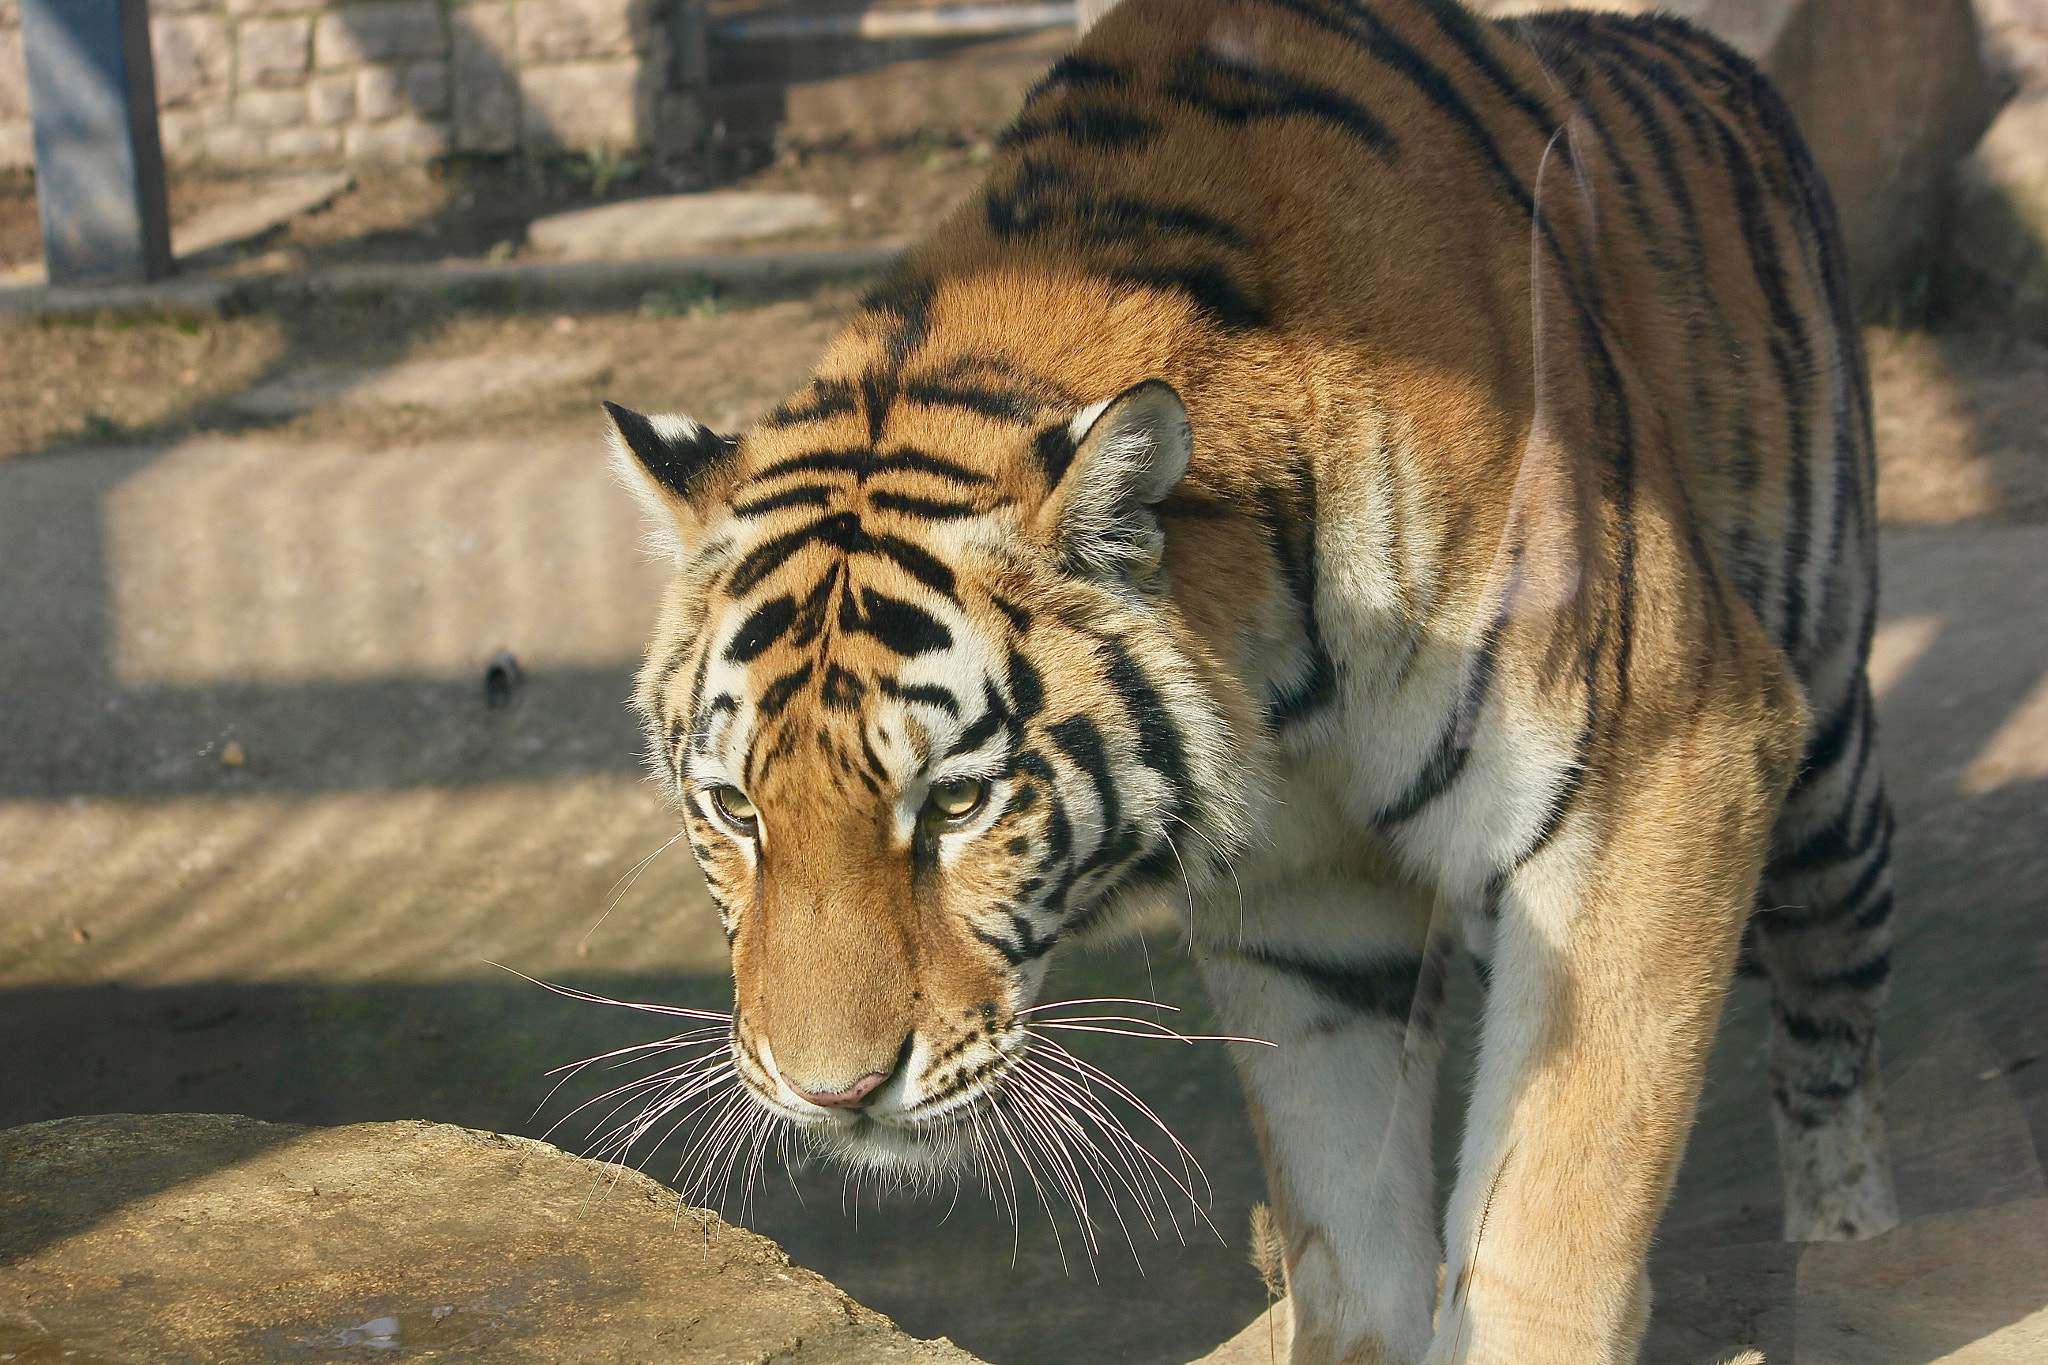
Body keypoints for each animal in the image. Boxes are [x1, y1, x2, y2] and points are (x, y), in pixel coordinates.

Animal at [600, 0, 1902, 1360]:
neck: (1280, 693)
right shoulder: (1304, 911)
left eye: (956, 803)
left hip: (1822, 770)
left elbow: (1550, 1209)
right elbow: (1352, 1238)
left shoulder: (1659, 765)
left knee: (1828, 1023)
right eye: (735, 810)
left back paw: (1848, 1239)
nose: (833, 1093)